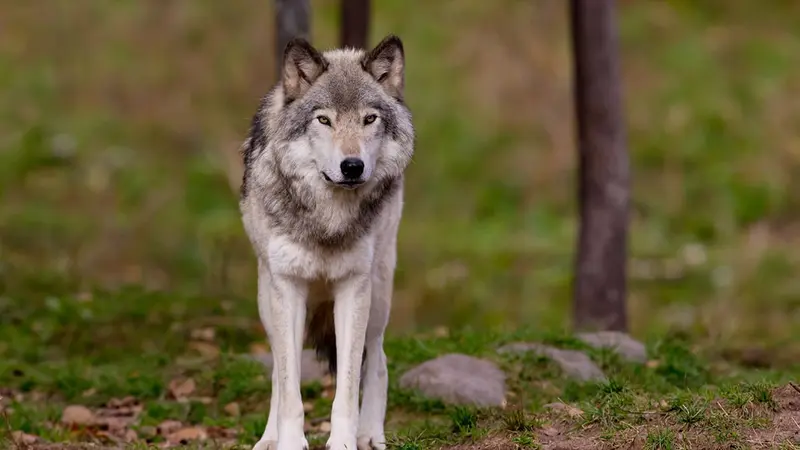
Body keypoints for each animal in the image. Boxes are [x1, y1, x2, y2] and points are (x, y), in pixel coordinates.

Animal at [238, 34, 414, 450]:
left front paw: (345, 441)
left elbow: (347, 387)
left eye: (369, 119)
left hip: (379, 295)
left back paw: (370, 435)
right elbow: (289, 385)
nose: (352, 166)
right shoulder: (287, 288)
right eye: (324, 119)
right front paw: (287, 442)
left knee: (378, 361)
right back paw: (268, 439)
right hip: (266, 300)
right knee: (277, 370)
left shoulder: (354, 288)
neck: (327, 222)